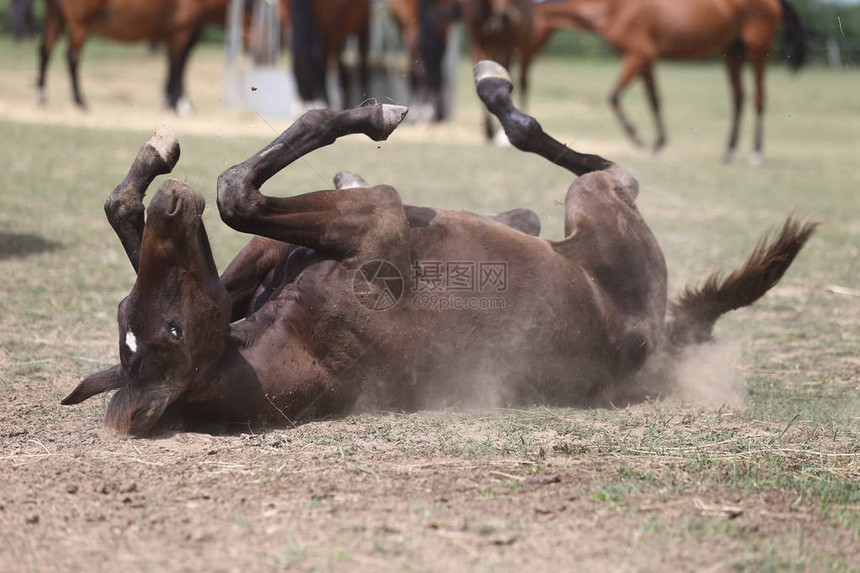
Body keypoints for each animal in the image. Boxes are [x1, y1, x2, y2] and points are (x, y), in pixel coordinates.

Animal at [38, 0, 233, 113]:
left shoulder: (177, 32)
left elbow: (173, 65)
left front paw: (169, 102)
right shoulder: (182, 30)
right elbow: (179, 65)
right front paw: (181, 104)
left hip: (55, 16)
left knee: (45, 50)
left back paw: (43, 97)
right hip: (80, 22)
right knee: (72, 56)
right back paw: (80, 101)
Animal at [536, 0, 808, 163]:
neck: (613, 7)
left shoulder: (639, 54)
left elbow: (614, 95)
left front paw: (639, 138)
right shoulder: (646, 60)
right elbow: (654, 100)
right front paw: (658, 143)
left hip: (757, 51)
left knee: (759, 98)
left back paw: (756, 152)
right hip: (733, 53)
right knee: (738, 98)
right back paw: (728, 150)